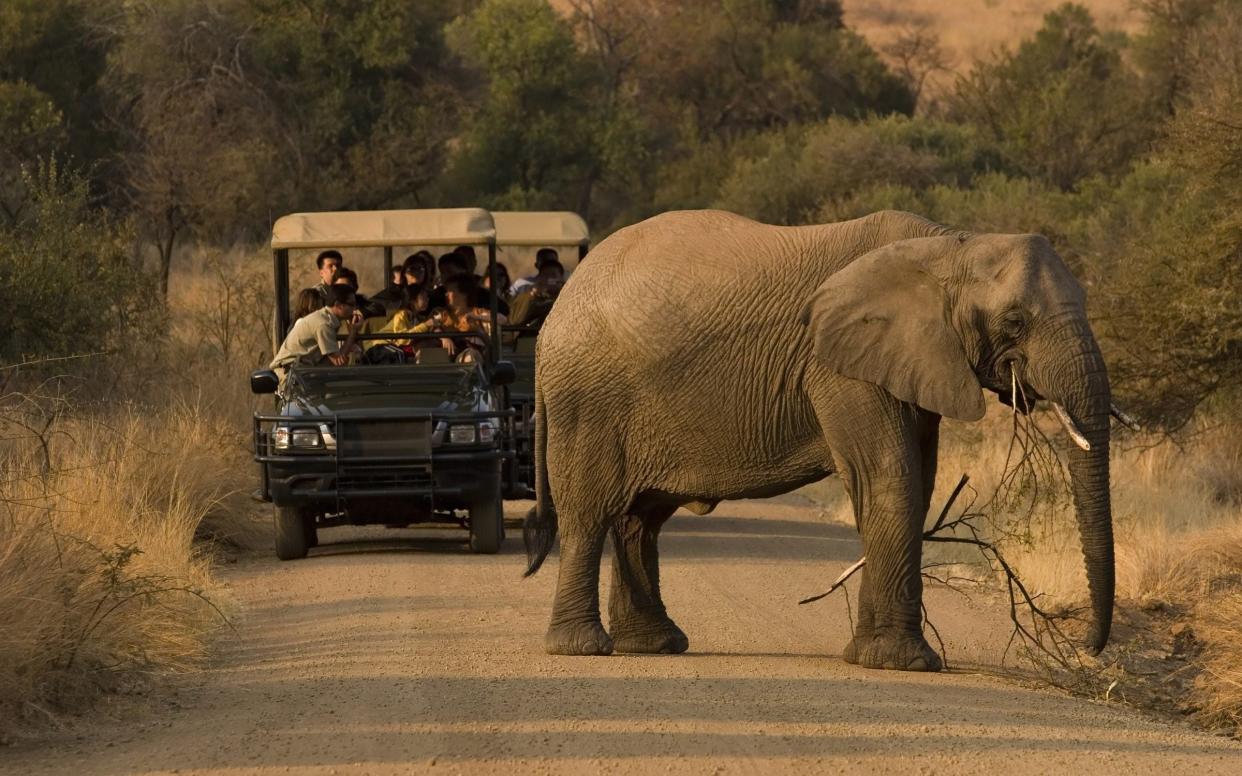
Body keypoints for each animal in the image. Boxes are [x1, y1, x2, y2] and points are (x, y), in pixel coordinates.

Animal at [524, 208, 1117, 670]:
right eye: (1015, 321)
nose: (1087, 649)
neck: (948, 245)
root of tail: (556, 312)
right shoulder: (838, 366)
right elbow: (889, 476)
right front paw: (904, 663)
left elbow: (918, 482)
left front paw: (871, 657)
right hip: (588, 400)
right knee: (589, 513)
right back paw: (583, 648)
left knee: (640, 520)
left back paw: (655, 645)